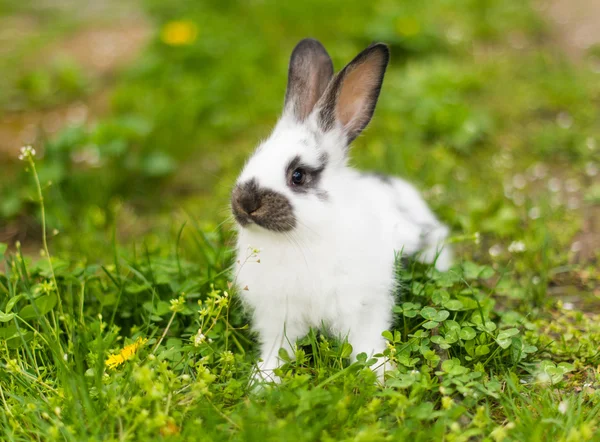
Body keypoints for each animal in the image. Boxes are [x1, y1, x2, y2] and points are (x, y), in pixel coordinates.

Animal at [230, 38, 450, 384]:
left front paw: (379, 375)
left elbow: (366, 343)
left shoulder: (364, 305)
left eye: (298, 175)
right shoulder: (278, 315)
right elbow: (278, 349)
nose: (246, 203)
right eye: (253, 157)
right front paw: (263, 381)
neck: (300, 239)